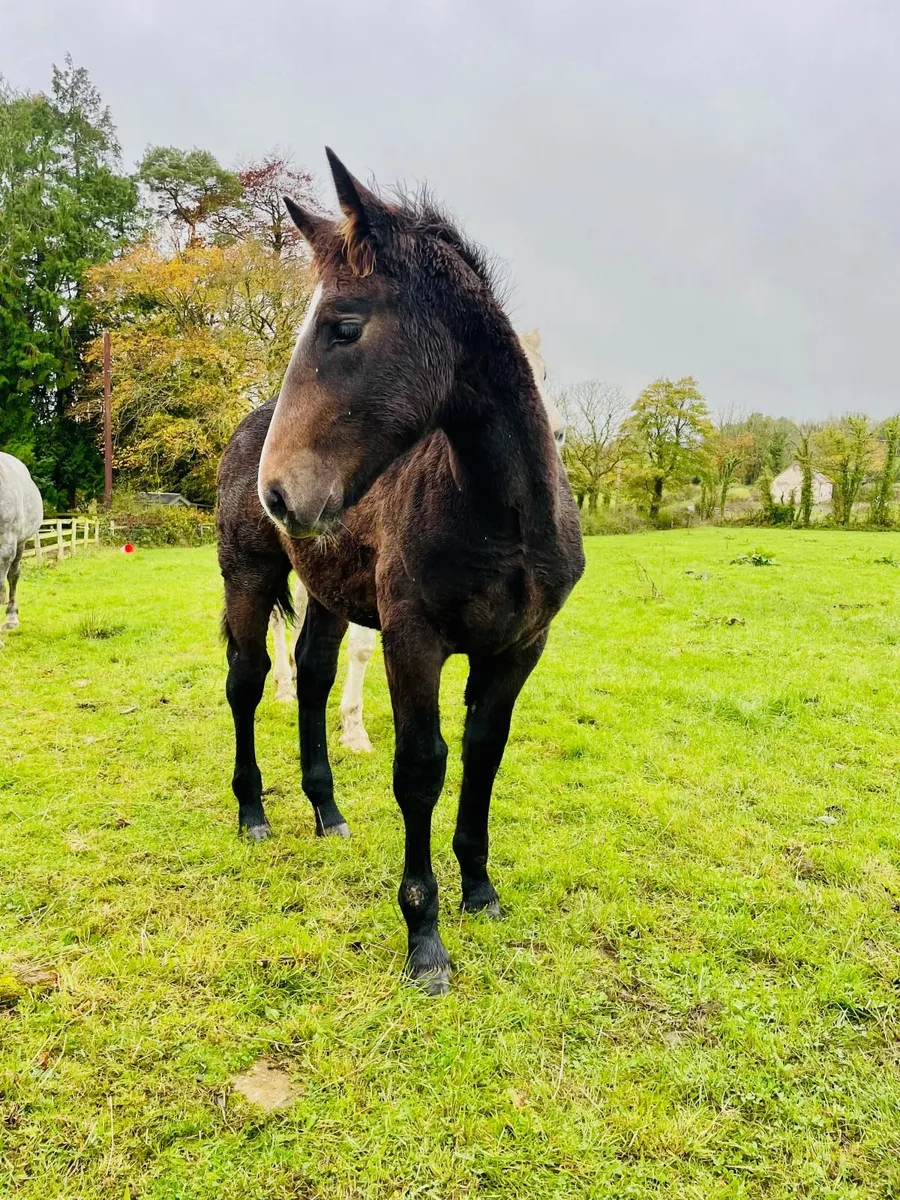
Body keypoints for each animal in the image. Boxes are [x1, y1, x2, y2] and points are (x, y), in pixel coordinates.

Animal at [267, 329, 565, 760]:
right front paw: (353, 730)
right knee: (277, 617)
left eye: (544, 373)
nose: (555, 434)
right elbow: (362, 647)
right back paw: (284, 687)